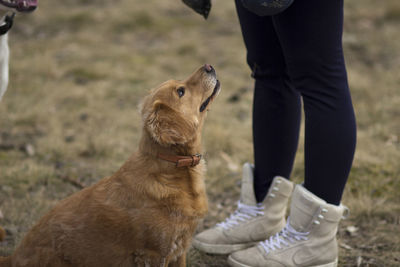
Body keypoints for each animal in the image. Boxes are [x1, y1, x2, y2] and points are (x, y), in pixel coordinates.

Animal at [0, 63, 220, 266]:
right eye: (181, 91)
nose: (209, 66)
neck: (175, 168)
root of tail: (12, 257)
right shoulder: (155, 253)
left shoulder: (180, 249)